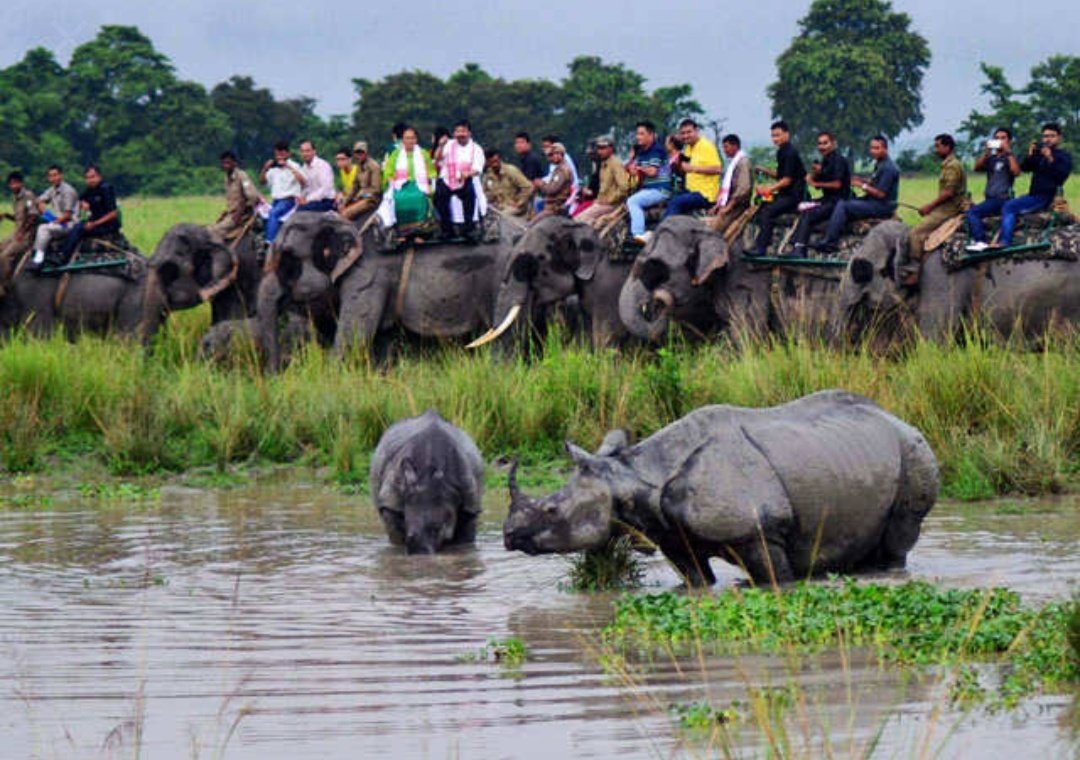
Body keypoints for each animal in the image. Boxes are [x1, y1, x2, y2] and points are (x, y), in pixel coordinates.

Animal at [373, 410, 488, 552]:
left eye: (437, 529)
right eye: (407, 524)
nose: (418, 551)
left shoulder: (470, 505)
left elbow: (465, 537)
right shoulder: (390, 503)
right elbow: (396, 534)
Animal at [503, 388, 937, 582]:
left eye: (551, 510)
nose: (508, 536)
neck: (631, 477)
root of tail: (897, 418)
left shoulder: (759, 530)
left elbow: (776, 580)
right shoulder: (672, 536)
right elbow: (698, 579)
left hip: (913, 450)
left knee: (900, 536)